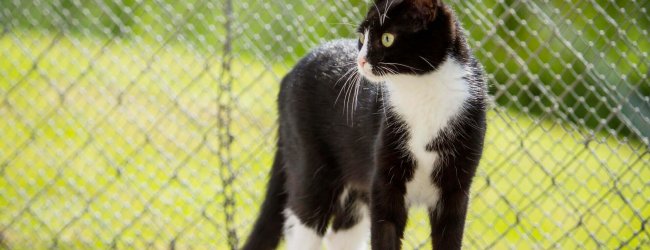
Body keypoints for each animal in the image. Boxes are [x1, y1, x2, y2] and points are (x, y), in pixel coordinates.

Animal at [240, 0, 484, 249]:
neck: (421, 93)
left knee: (340, 234)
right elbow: (385, 233)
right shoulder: (383, 182)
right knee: (304, 222)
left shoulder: (456, 190)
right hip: (310, 165)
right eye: (361, 37)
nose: (360, 61)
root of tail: (290, 72)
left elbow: (450, 235)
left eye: (387, 38)